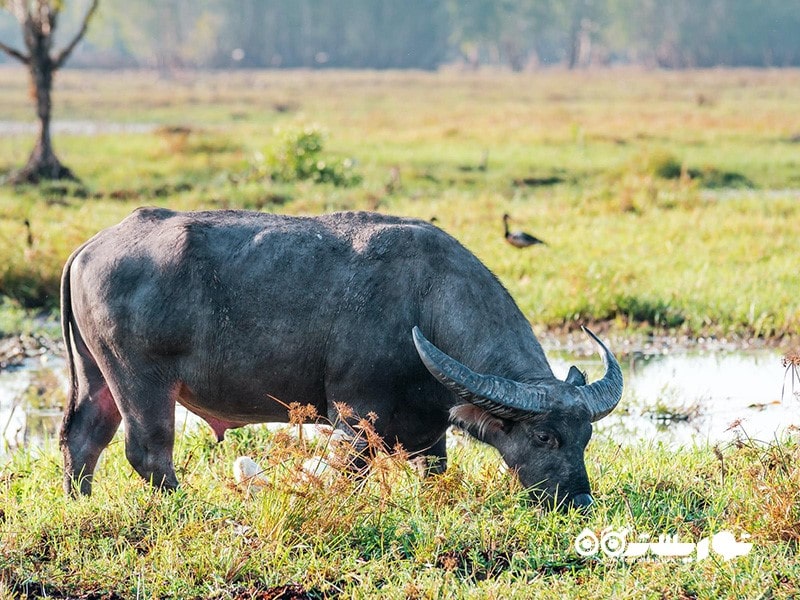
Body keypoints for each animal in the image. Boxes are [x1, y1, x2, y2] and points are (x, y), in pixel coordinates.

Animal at [62, 209, 624, 508]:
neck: (424, 300)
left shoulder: (430, 430)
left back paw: (78, 502)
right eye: (544, 436)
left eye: (586, 437)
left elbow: (435, 471)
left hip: (96, 376)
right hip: (140, 380)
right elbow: (350, 474)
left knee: (83, 436)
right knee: (149, 451)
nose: (579, 502)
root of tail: (90, 247)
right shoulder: (352, 417)